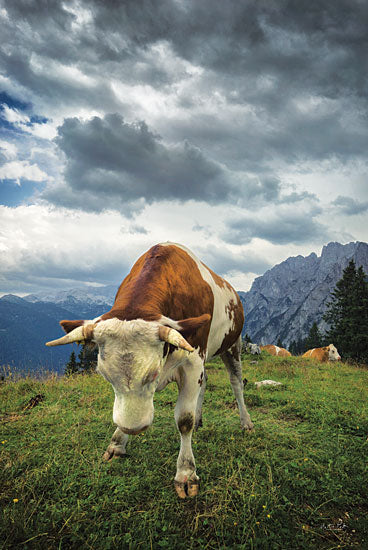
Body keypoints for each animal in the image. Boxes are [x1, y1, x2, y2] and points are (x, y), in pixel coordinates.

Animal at [46, 244, 253, 502]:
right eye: (104, 375)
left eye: (154, 373)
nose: (133, 428)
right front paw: (117, 443)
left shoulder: (193, 360)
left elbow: (184, 420)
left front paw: (186, 473)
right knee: (204, 383)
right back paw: (200, 419)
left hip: (233, 345)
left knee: (236, 382)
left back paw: (246, 422)